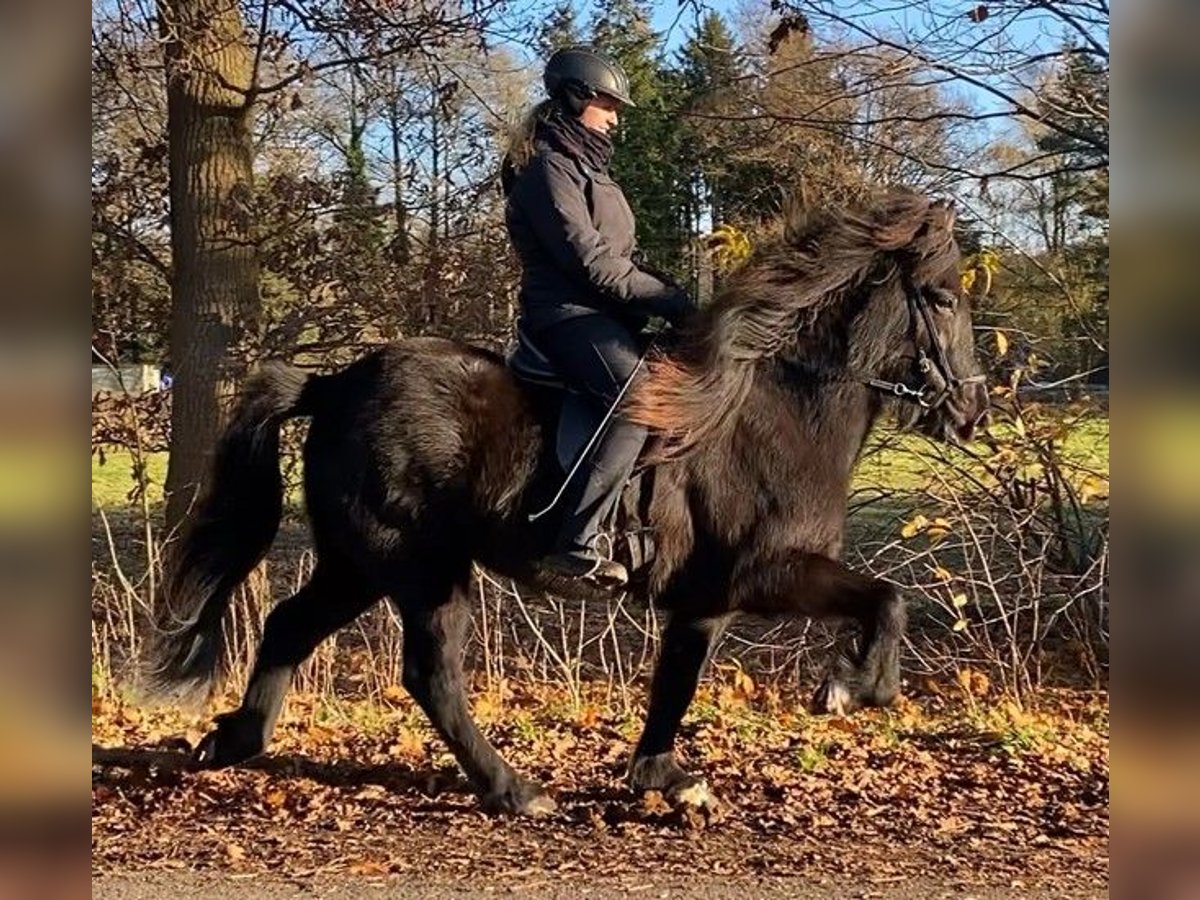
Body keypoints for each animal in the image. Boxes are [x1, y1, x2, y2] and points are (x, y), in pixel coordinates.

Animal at [154, 194, 988, 820]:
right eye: (943, 297)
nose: (973, 412)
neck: (774, 408)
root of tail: (331, 383)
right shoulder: (768, 572)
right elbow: (887, 599)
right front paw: (851, 689)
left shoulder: (708, 597)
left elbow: (676, 680)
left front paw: (663, 778)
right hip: (418, 567)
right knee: (429, 674)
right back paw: (513, 790)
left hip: (358, 563)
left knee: (288, 627)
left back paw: (235, 741)